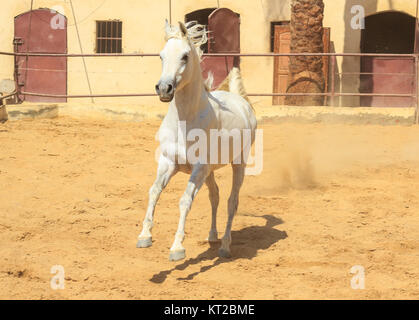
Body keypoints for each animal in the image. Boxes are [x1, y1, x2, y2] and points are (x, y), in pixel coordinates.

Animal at [137, 20, 256, 262]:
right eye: (161, 55)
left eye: (184, 56)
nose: (164, 89)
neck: (185, 123)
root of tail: (241, 102)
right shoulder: (168, 163)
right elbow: (154, 191)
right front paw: (145, 236)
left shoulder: (198, 169)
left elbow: (184, 201)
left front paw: (177, 248)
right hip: (210, 172)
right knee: (215, 195)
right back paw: (212, 236)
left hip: (238, 164)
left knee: (232, 202)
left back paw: (225, 246)